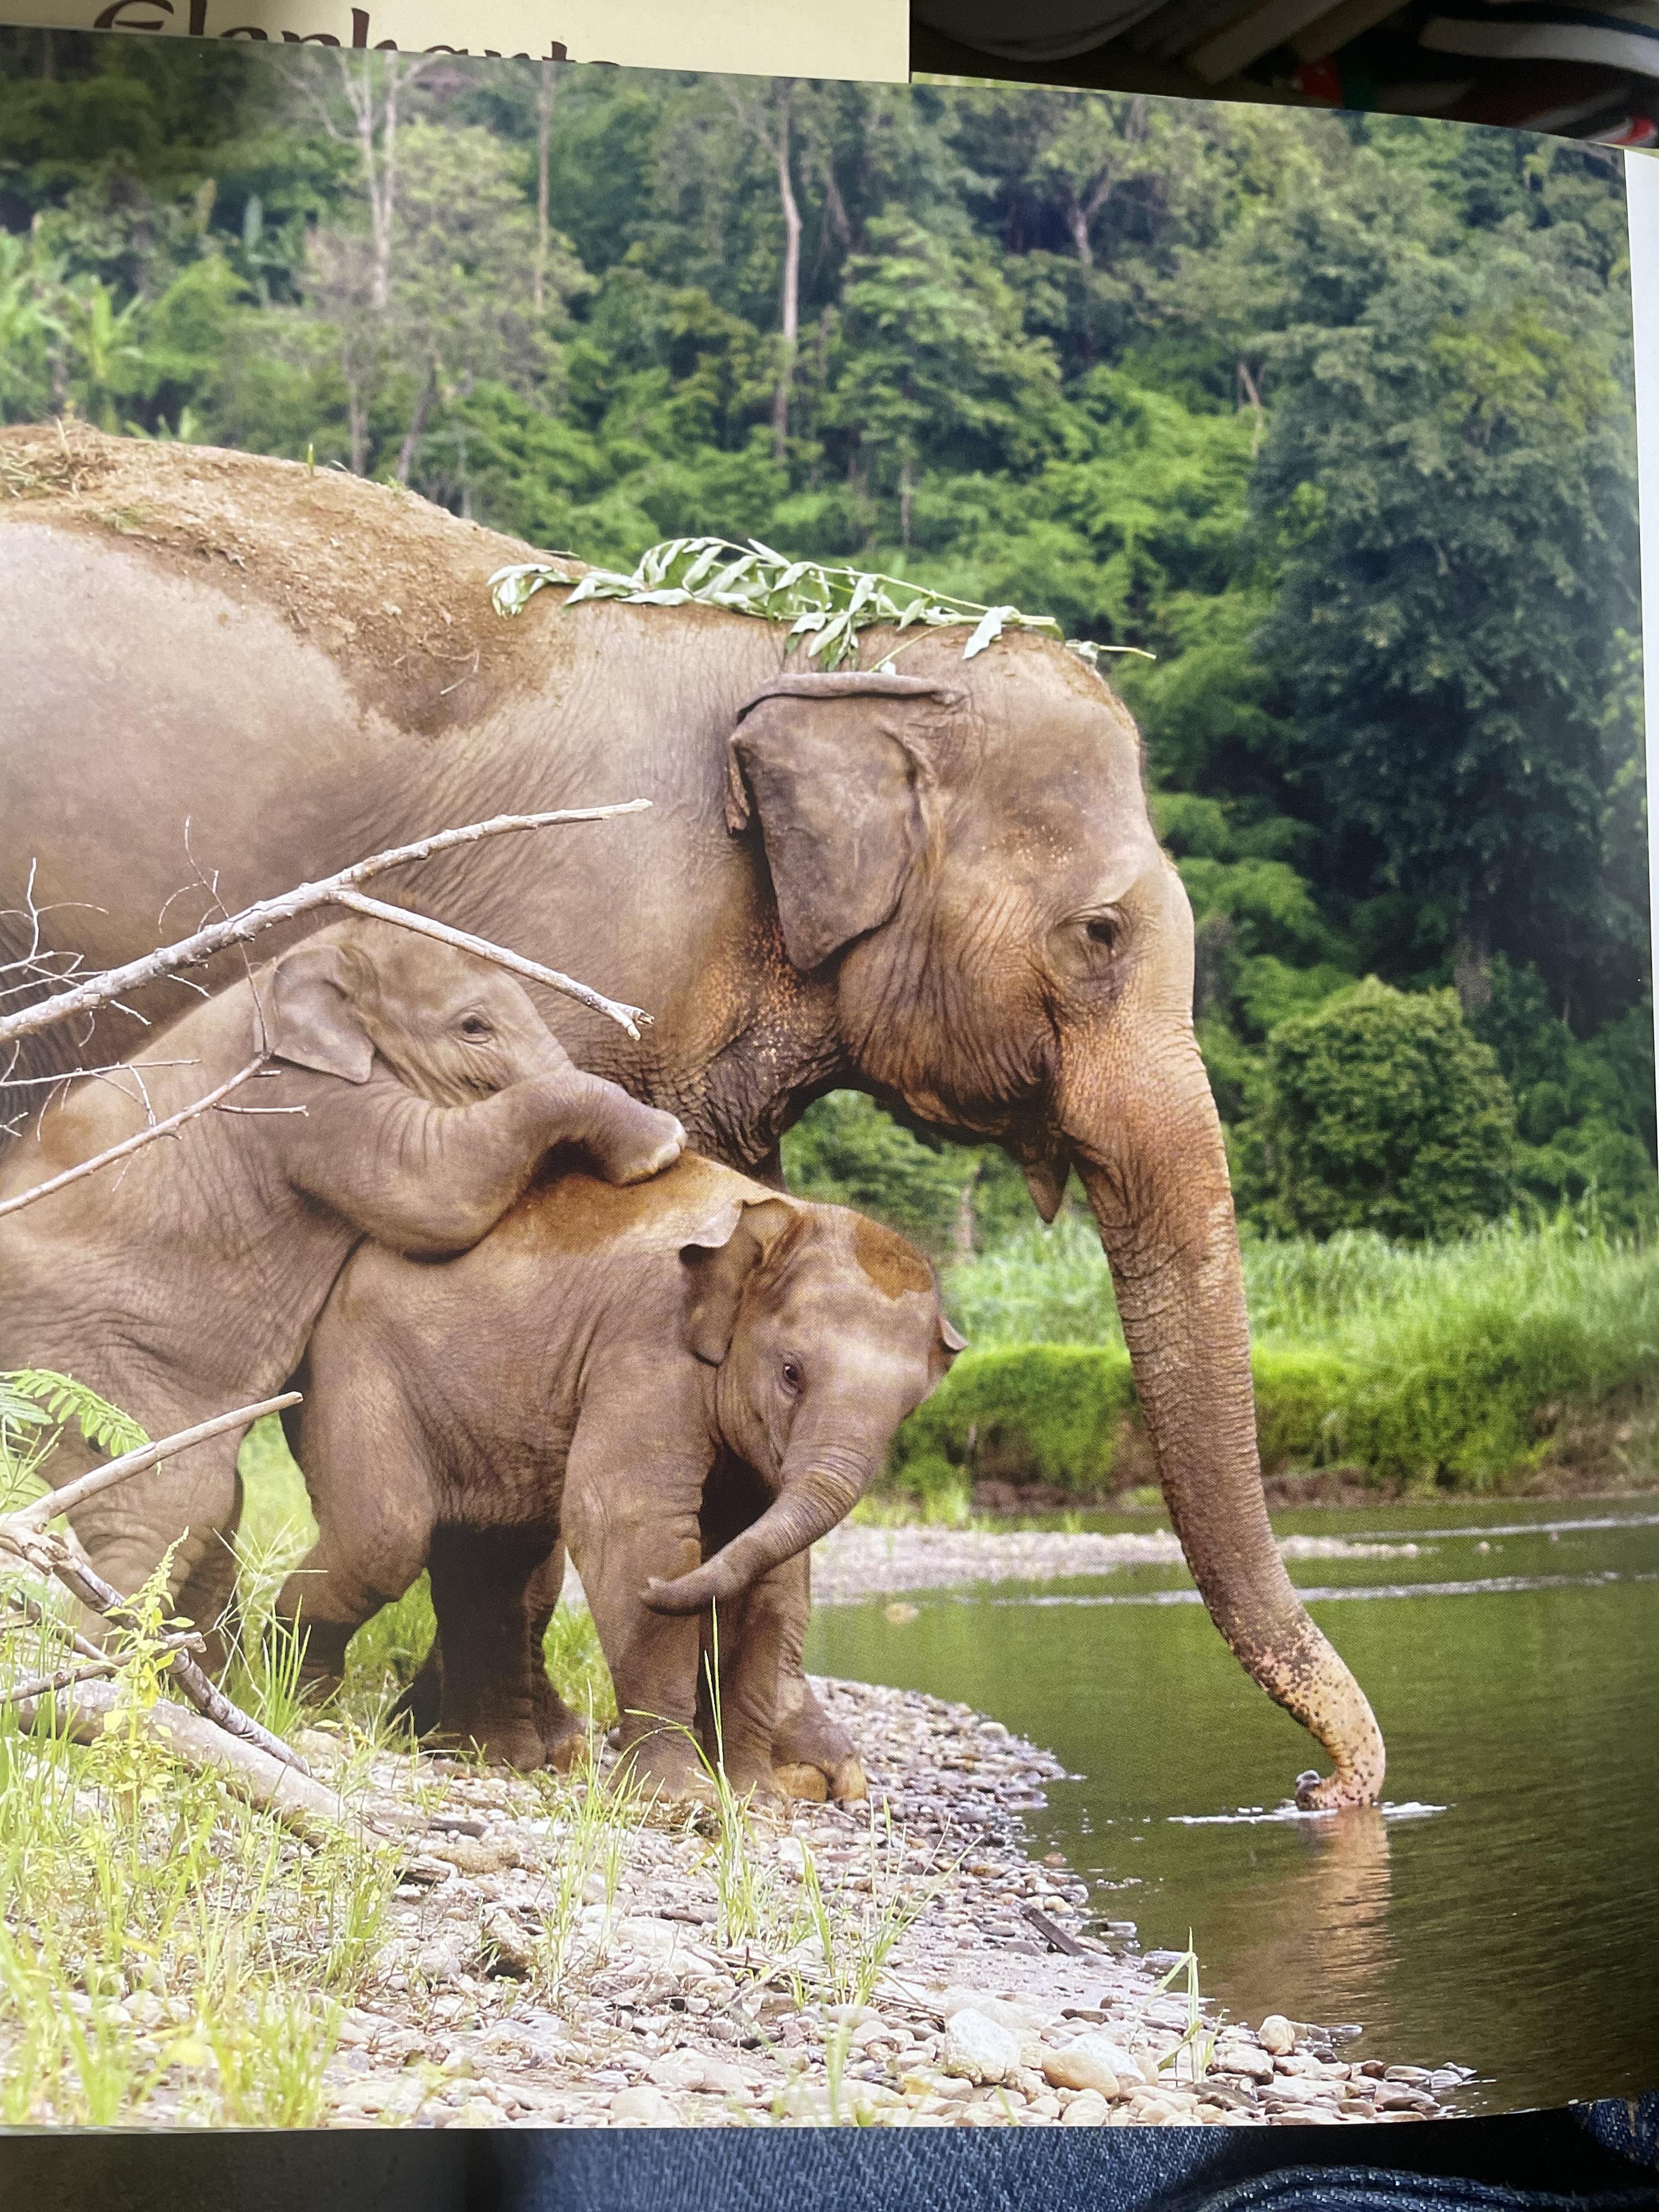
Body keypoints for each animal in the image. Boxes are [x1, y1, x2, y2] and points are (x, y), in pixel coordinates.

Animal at [0, 915, 684, 1649]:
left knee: (206, 1514)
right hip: (83, 1369)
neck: (315, 956)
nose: (678, 1150)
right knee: (170, 1507)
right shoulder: (308, 1102)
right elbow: (435, 1188)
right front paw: (662, 1148)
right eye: (473, 1026)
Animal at [276, 1153, 959, 1797]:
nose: (662, 1587)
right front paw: (687, 1803)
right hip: (351, 1373)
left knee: (492, 1558)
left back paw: (493, 1758)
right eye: (791, 1374)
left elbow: (771, 1577)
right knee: (383, 1542)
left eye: (907, 1411)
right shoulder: (647, 1346)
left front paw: (756, 1803)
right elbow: (626, 1524)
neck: (780, 1219)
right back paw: (299, 1705)